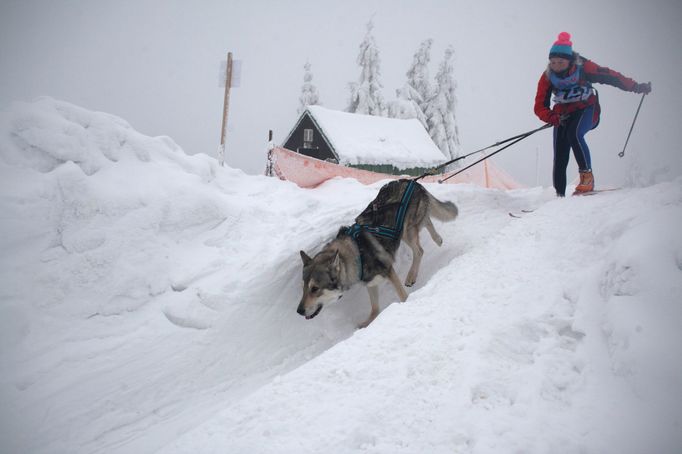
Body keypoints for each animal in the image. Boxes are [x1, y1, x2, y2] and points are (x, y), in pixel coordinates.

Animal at [298, 179, 456, 328]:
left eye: (314, 289)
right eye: (304, 287)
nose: (299, 311)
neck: (358, 254)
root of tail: (412, 181)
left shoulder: (388, 271)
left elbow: (402, 296)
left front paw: (406, 305)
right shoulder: (371, 283)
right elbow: (375, 309)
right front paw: (367, 324)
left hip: (407, 231)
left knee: (419, 250)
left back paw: (411, 275)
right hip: (405, 230)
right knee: (427, 220)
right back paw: (438, 239)